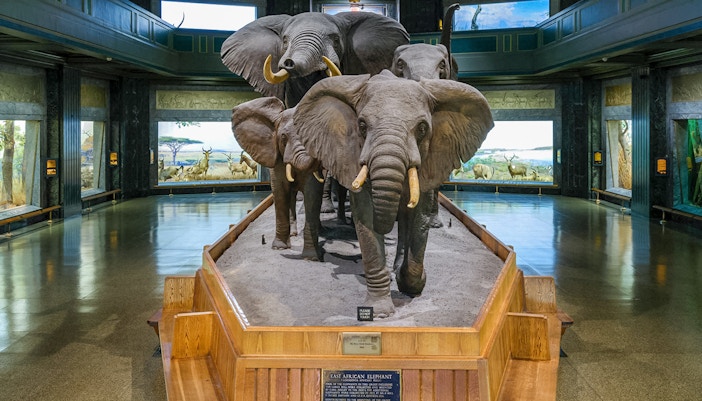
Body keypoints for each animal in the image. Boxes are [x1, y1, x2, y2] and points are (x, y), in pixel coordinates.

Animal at [290, 71, 494, 317]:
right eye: (362, 125)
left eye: (422, 128)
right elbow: (366, 216)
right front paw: (379, 311)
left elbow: (419, 217)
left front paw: (412, 283)